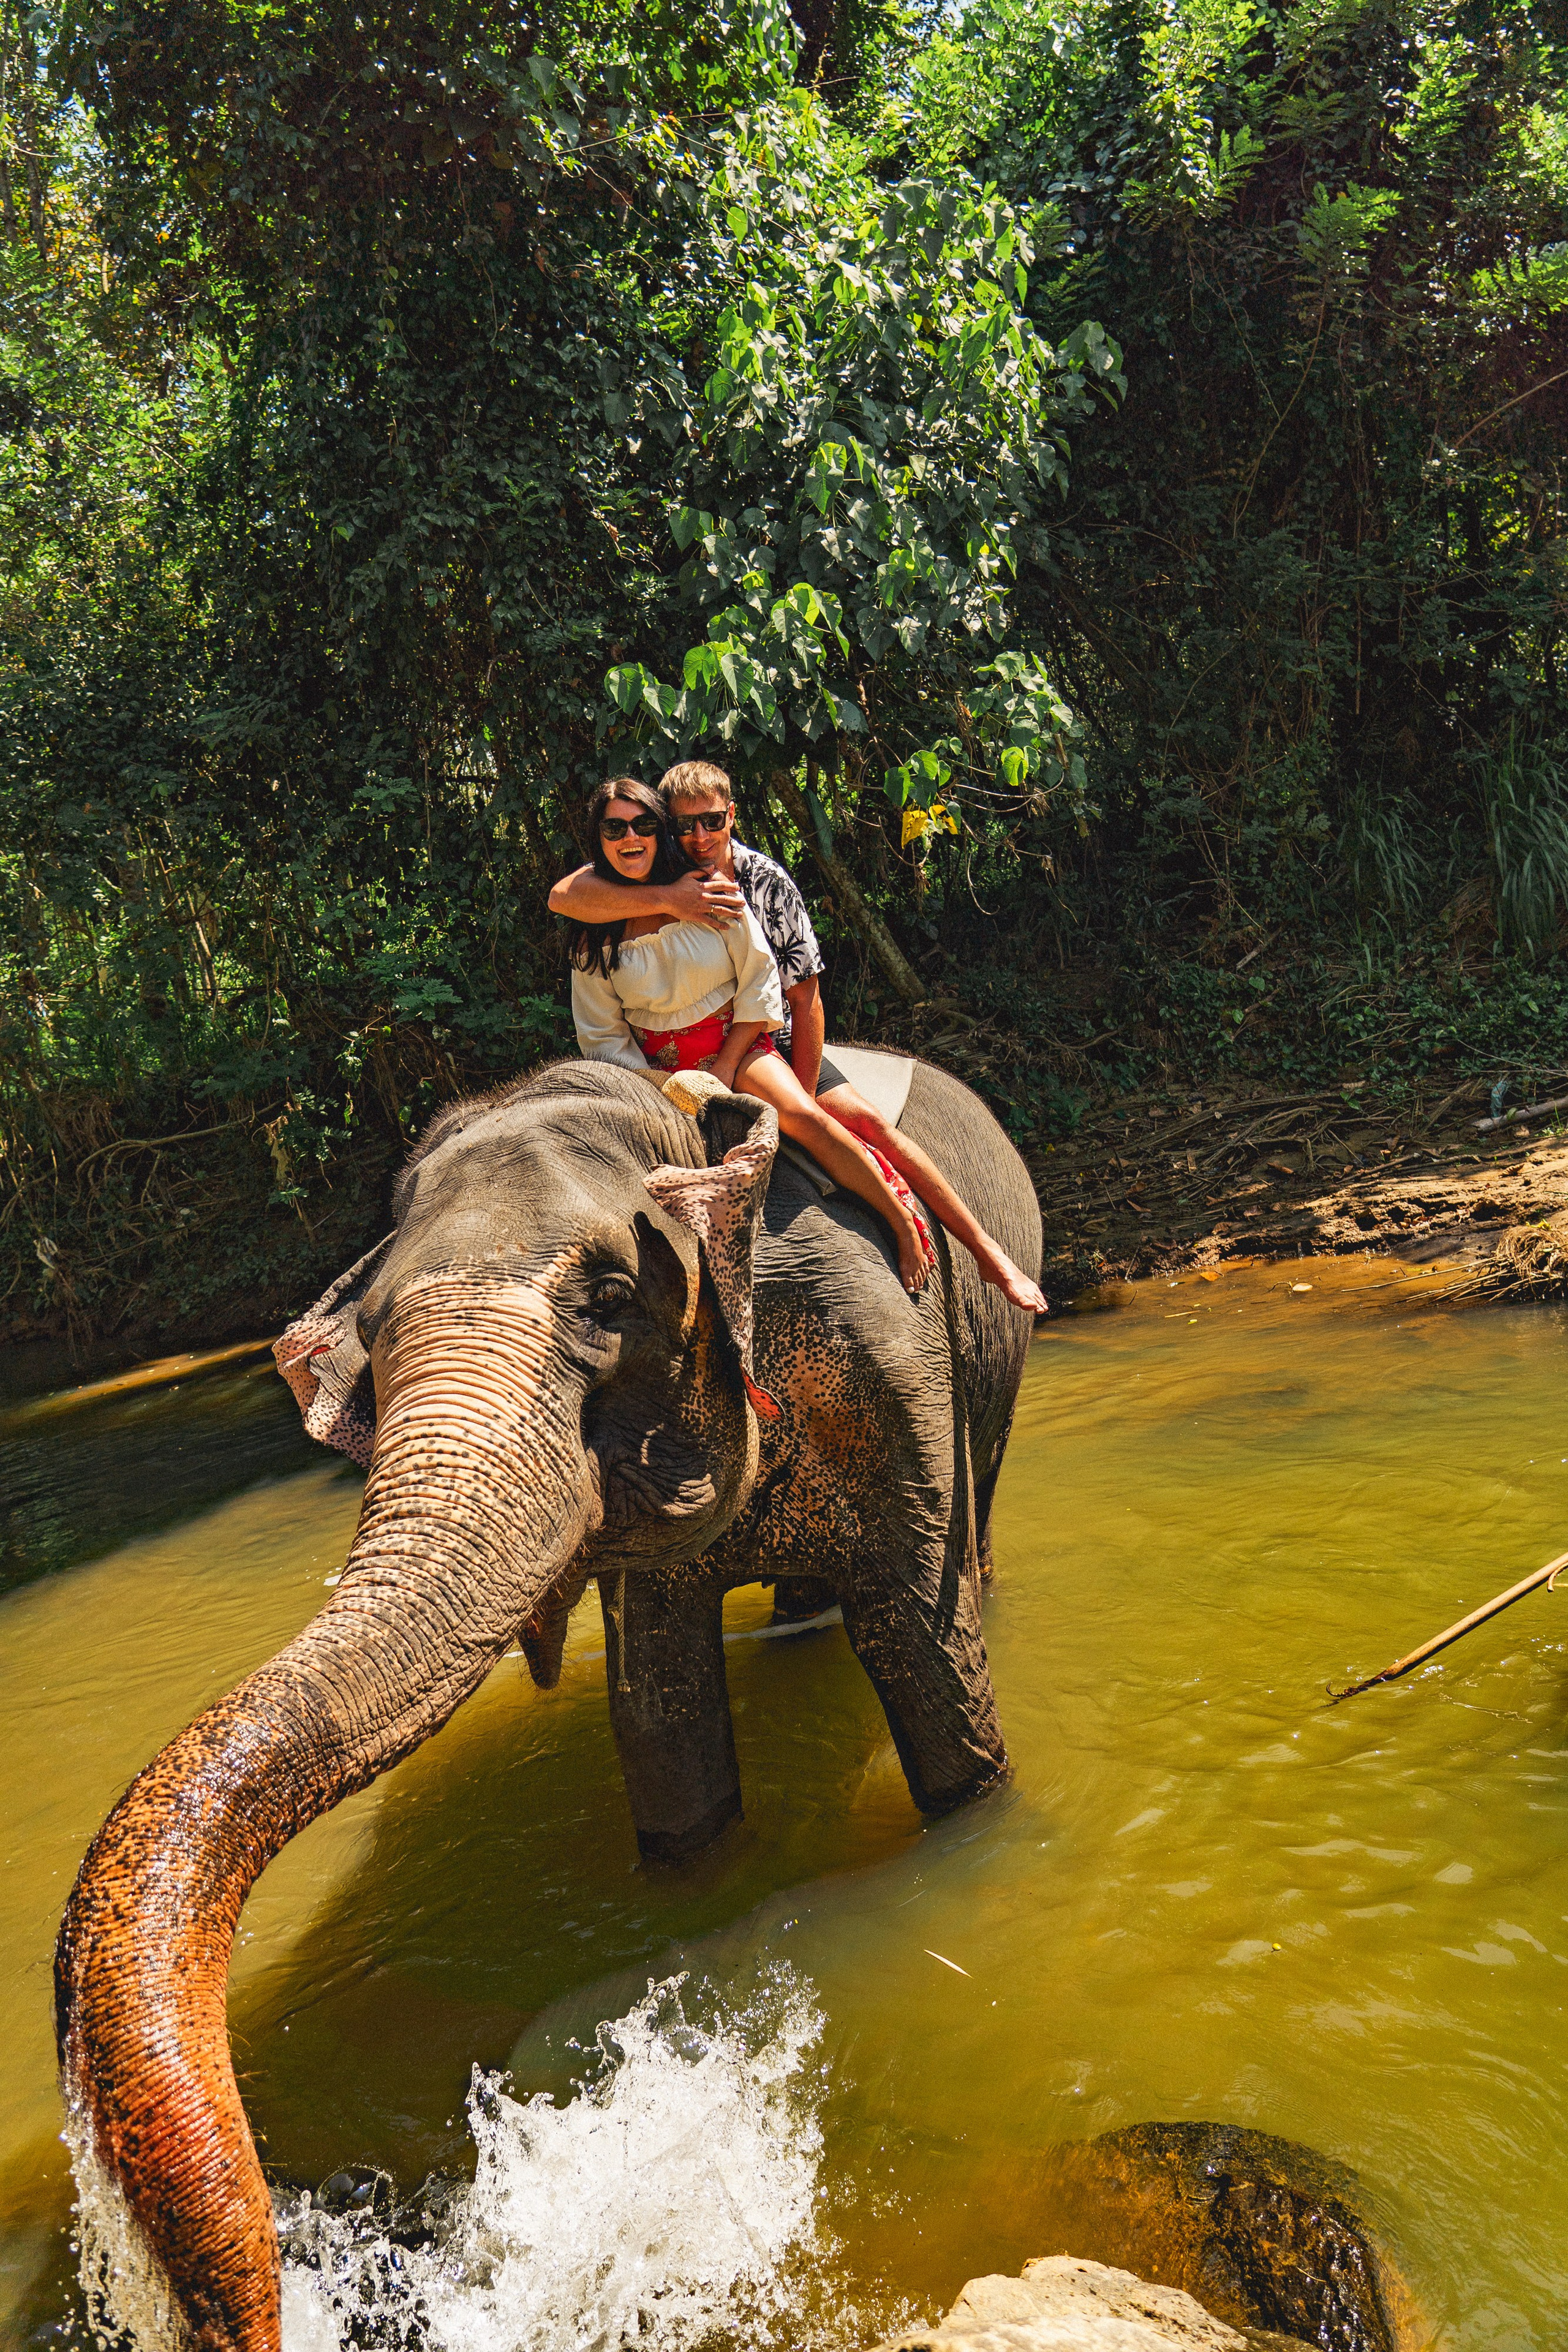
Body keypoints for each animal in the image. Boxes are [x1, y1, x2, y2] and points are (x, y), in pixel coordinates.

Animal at [53, 1048, 1041, 2352]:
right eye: (372, 1337)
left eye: (613, 1298)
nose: (235, 2318)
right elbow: (661, 1709)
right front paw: (692, 1866)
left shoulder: (883, 1357)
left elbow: (930, 1663)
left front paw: (974, 1803)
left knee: (971, 1544)